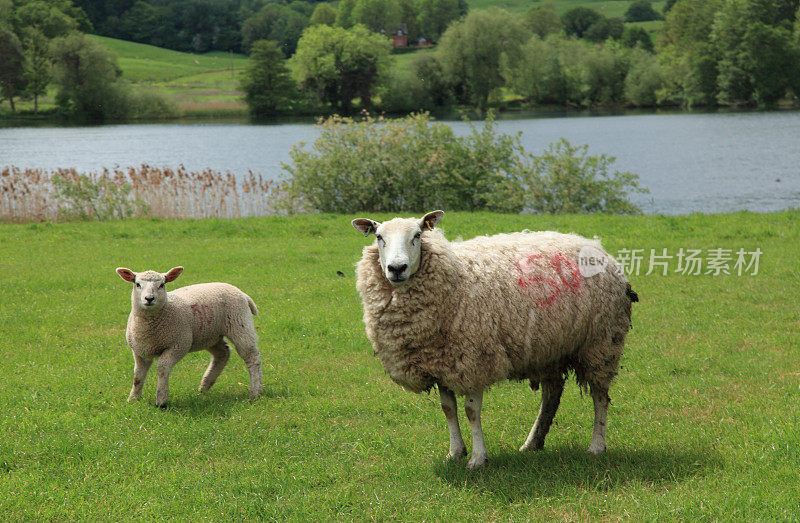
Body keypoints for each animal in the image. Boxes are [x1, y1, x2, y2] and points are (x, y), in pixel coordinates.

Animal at [115, 266, 262, 410]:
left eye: (162, 285)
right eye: (137, 284)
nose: (149, 298)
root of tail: (241, 293)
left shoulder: (179, 344)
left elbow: (162, 369)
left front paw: (161, 401)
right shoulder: (140, 351)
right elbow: (137, 376)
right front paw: (134, 399)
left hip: (240, 324)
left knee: (252, 357)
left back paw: (256, 392)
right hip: (209, 335)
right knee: (223, 353)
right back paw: (205, 385)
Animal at [350, 211, 636, 468]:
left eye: (418, 235)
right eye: (378, 236)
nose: (396, 268)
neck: (454, 278)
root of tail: (599, 249)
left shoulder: (475, 359)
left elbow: (470, 412)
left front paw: (478, 458)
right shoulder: (442, 362)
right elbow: (448, 409)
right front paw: (455, 452)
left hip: (601, 342)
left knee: (600, 396)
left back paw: (596, 445)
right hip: (550, 347)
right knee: (552, 395)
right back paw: (532, 443)